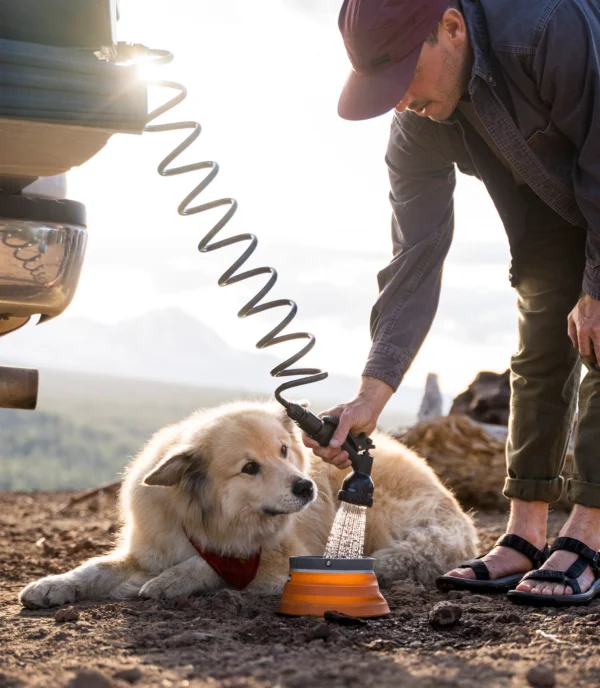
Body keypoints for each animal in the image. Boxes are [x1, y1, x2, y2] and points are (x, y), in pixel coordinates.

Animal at [19, 398, 478, 608]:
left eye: (283, 451)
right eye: (249, 468)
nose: (306, 488)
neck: (204, 518)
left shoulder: (276, 558)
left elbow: (213, 564)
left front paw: (169, 582)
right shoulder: (149, 548)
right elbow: (94, 568)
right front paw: (52, 584)